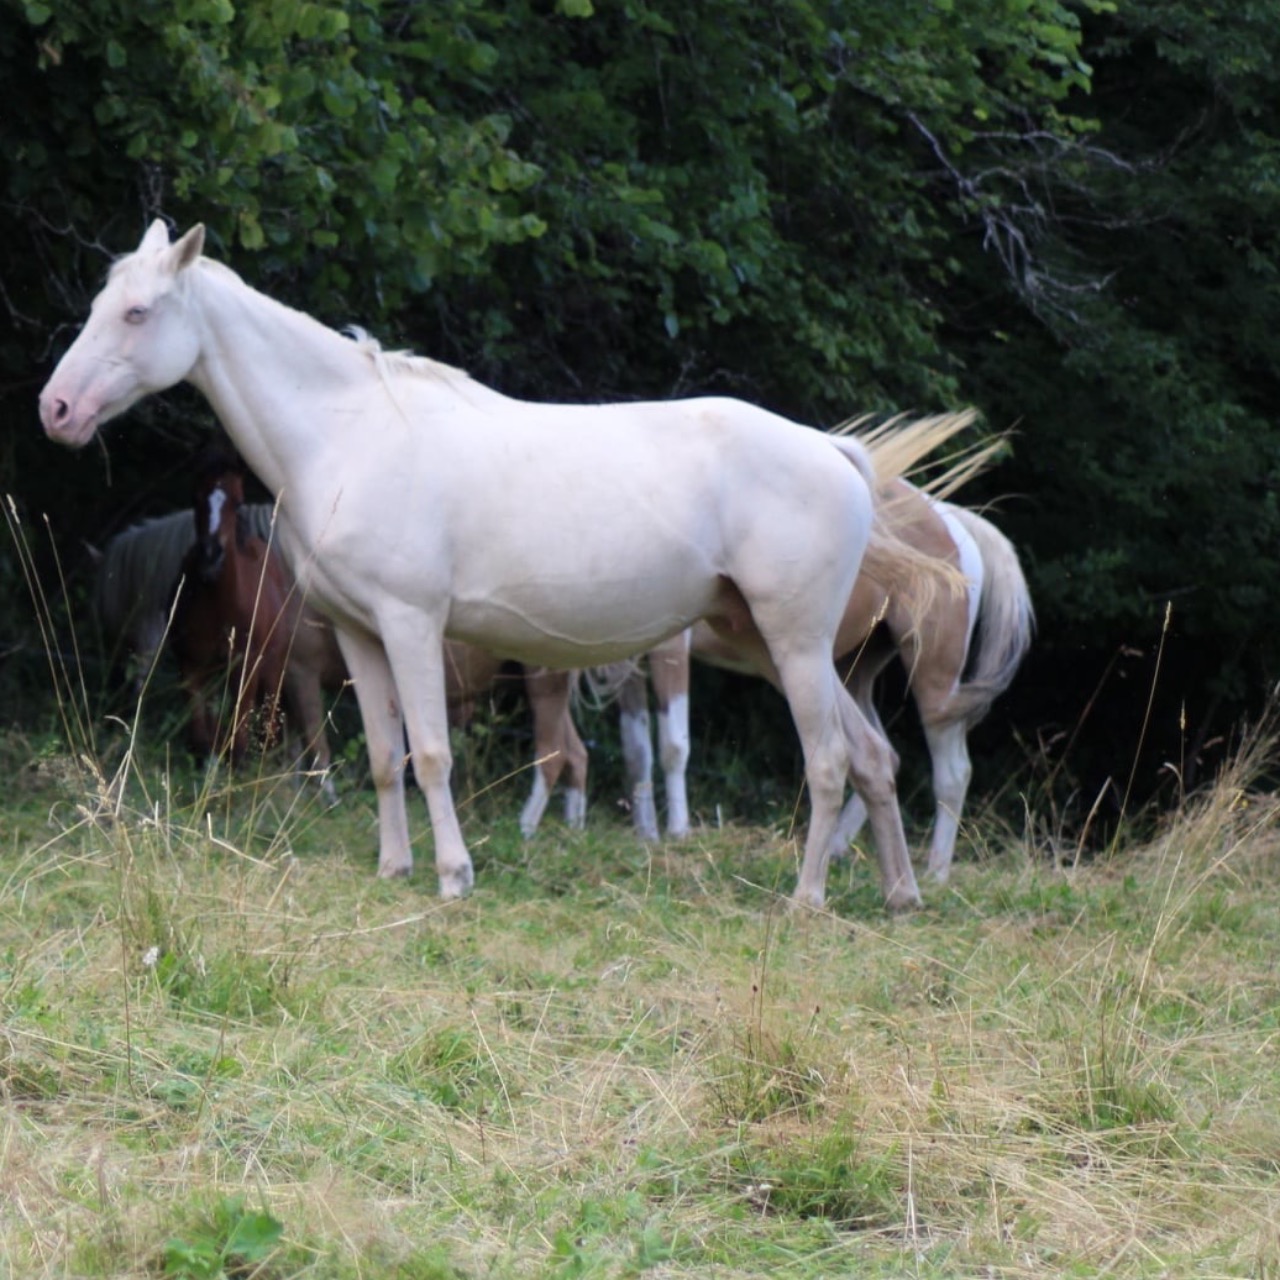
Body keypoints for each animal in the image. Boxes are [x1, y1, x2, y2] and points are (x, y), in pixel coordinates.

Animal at [37, 217, 962, 911]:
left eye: (138, 313)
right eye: (100, 304)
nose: (57, 410)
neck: (346, 434)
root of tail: (833, 452)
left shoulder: (412, 624)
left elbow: (431, 754)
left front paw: (453, 876)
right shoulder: (359, 636)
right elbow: (384, 757)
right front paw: (394, 868)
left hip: (794, 646)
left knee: (831, 762)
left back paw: (806, 900)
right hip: (776, 648)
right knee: (875, 760)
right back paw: (900, 895)